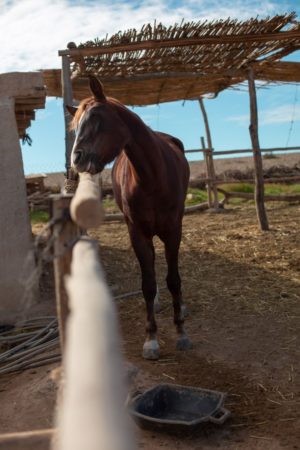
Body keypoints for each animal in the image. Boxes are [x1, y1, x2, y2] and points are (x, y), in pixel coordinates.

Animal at [68, 76, 192, 358]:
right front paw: (151, 339)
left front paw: (181, 332)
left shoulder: (173, 230)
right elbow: (148, 283)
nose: (76, 159)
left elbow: (174, 280)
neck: (154, 177)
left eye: (97, 118)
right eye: (76, 126)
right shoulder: (137, 232)